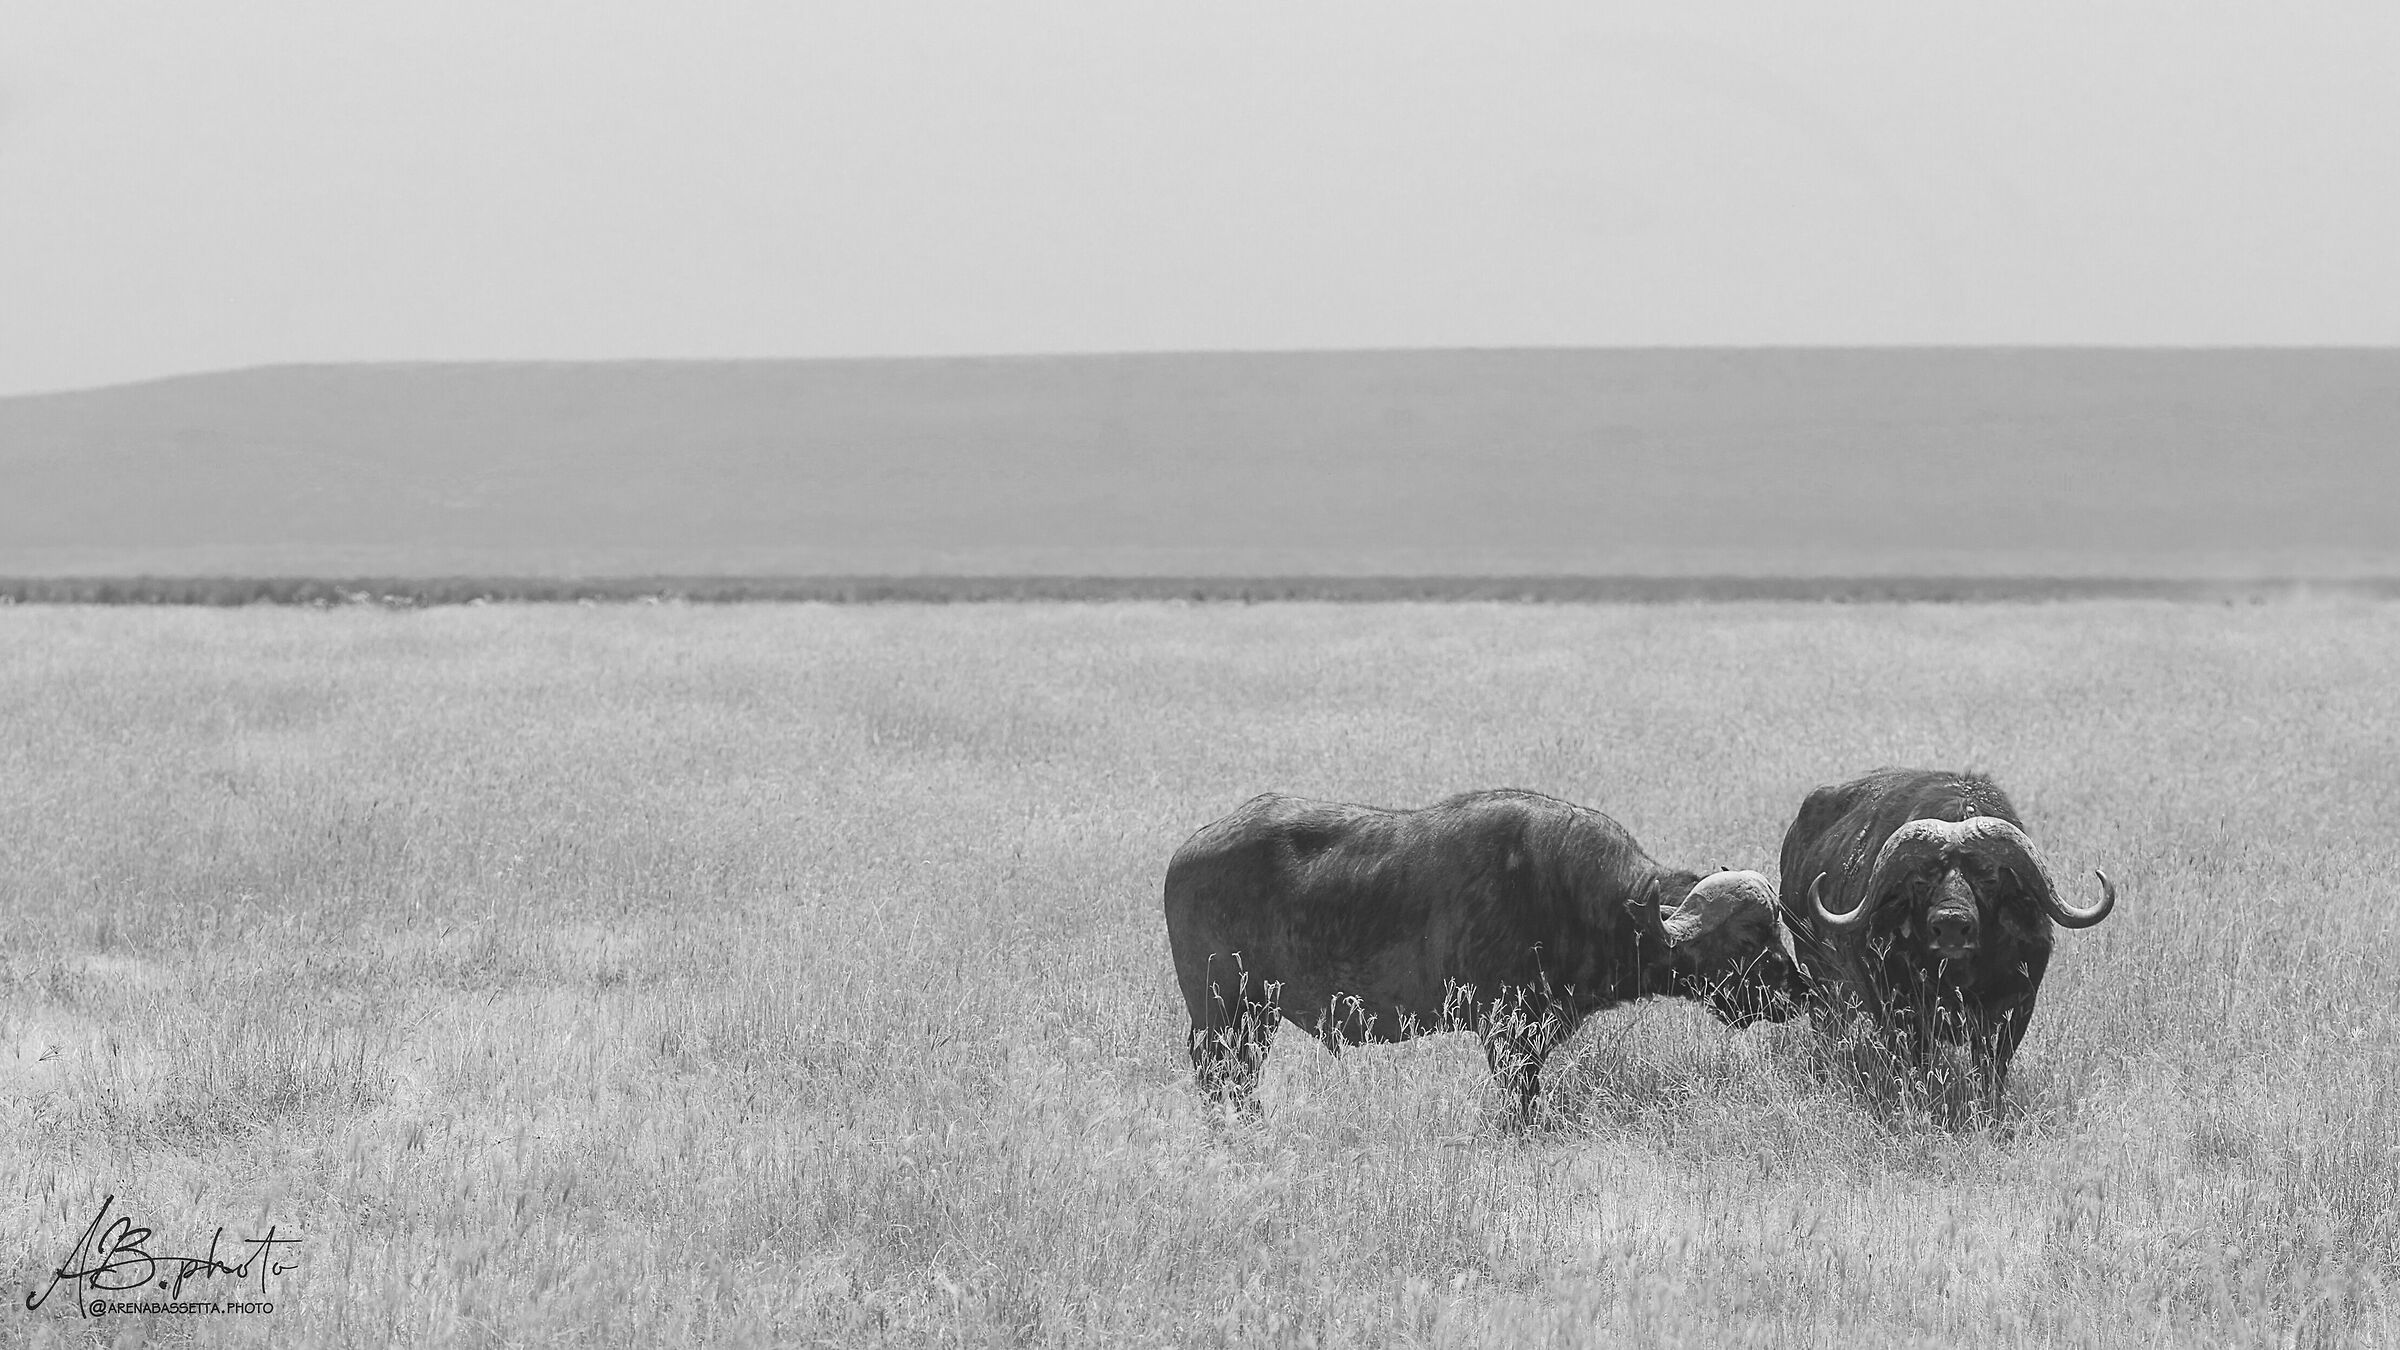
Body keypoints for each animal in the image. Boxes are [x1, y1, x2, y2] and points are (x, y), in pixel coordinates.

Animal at [1163, 789, 1808, 1119]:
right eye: (1749, 937)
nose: (1798, 987)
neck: (1577, 898)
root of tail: (1187, 851)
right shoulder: (1508, 1037)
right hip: (1221, 1010)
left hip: (1254, 1016)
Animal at [1778, 768, 2115, 1095]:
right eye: (1920, 880)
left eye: (1989, 878)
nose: (1951, 925)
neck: (1959, 980)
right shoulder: (1897, 1010)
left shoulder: (2014, 1010)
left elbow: (1992, 1070)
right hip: (1818, 978)